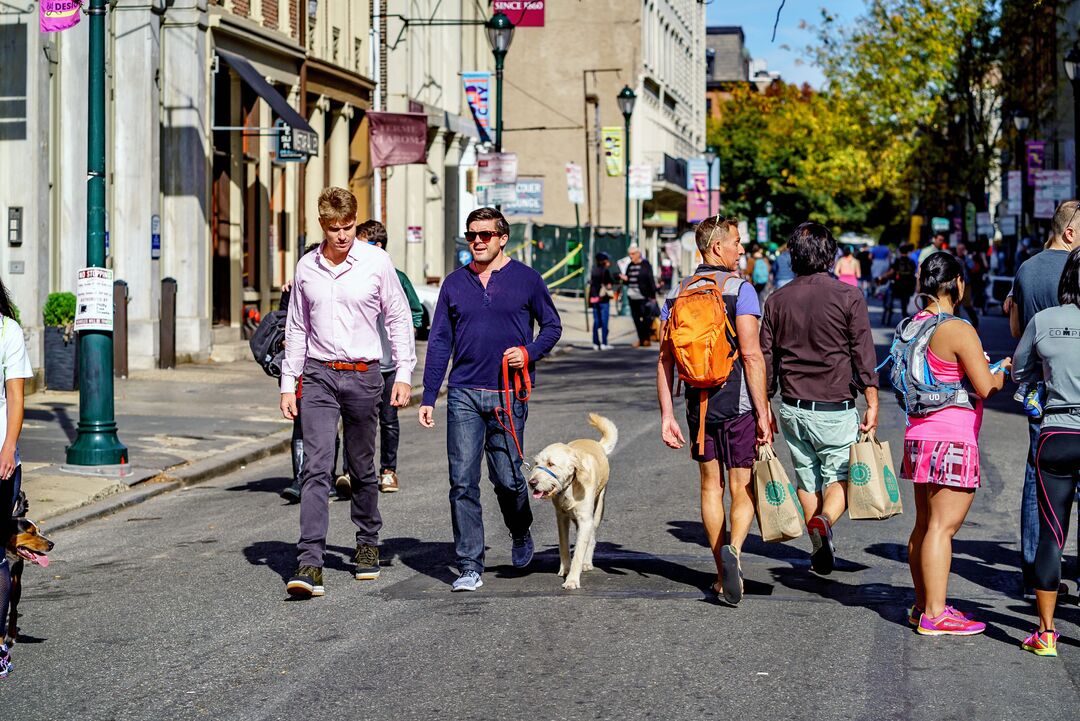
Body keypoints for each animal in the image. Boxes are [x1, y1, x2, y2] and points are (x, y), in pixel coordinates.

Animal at [529, 414, 617, 587]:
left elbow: (579, 551)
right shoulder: (561, 518)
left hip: (598, 510)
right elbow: (563, 545)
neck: (569, 488)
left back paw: (587, 562)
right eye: (537, 463)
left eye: (551, 463)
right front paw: (565, 569)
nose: (532, 482)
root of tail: (597, 444)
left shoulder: (585, 520)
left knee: (592, 538)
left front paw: (572, 580)